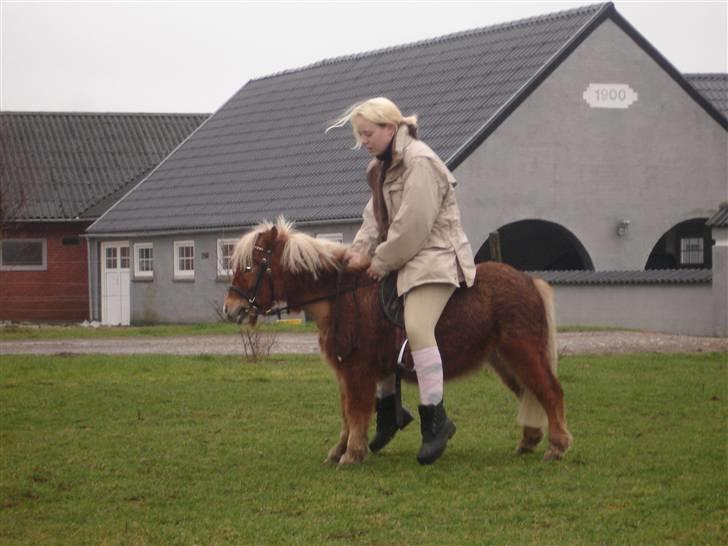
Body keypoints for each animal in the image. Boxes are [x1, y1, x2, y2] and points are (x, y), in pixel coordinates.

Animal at [225, 217, 572, 464]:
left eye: (250, 266)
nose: (232, 310)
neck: (340, 295)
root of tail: (529, 280)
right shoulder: (348, 371)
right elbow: (346, 410)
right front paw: (341, 449)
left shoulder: (357, 370)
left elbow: (355, 409)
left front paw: (352, 453)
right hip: (503, 359)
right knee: (529, 392)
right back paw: (528, 441)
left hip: (523, 352)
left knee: (549, 391)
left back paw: (556, 447)